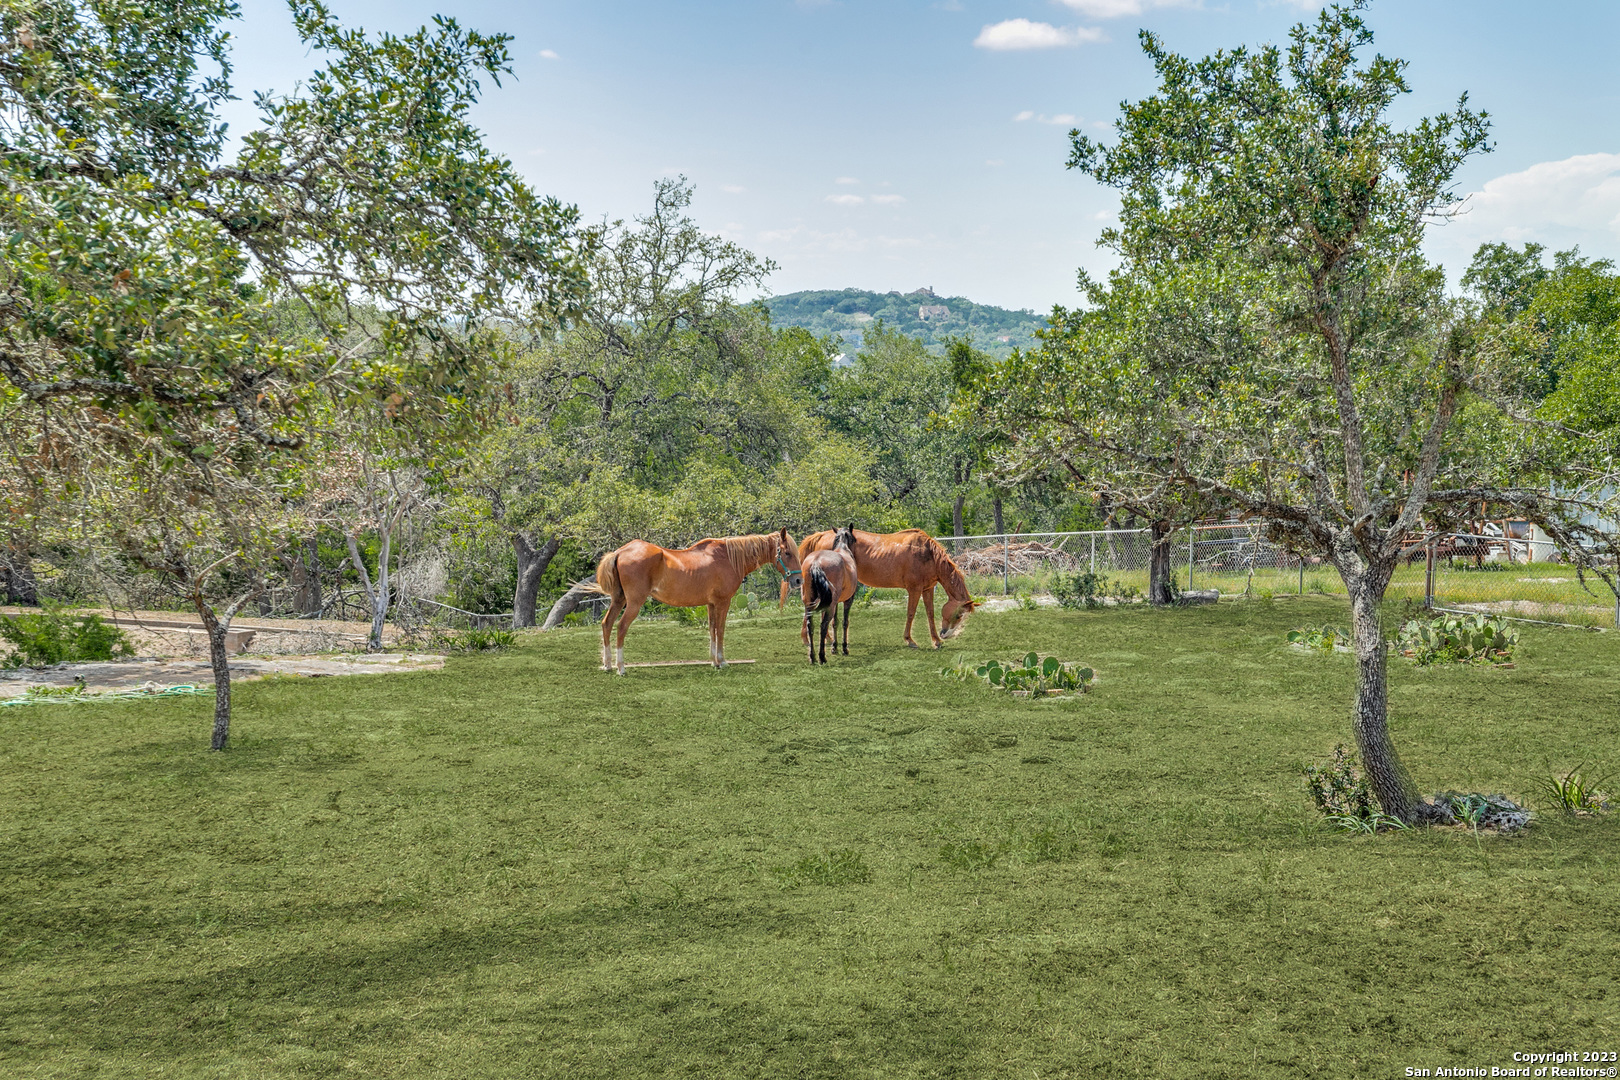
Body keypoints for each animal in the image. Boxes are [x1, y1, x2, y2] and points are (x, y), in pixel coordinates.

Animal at [587, 529, 799, 675]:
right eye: (787, 553)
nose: (797, 580)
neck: (727, 558)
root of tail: (620, 552)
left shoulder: (711, 604)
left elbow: (712, 630)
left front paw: (714, 661)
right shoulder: (723, 603)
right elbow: (720, 630)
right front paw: (722, 661)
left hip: (618, 599)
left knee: (606, 624)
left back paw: (608, 665)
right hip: (633, 603)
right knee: (621, 627)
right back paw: (621, 667)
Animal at [791, 528, 977, 649]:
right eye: (959, 615)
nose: (947, 634)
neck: (928, 554)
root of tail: (822, 535)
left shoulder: (928, 589)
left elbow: (930, 614)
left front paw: (936, 641)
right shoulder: (914, 590)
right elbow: (911, 613)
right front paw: (910, 640)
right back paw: (809, 639)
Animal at [801, 525, 858, 664]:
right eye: (854, 539)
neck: (842, 548)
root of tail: (816, 563)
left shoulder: (834, 603)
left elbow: (835, 622)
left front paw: (834, 647)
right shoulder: (848, 600)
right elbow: (844, 622)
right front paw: (843, 648)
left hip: (809, 604)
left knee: (811, 626)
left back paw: (813, 657)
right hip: (829, 605)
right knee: (823, 626)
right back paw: (822, 657)